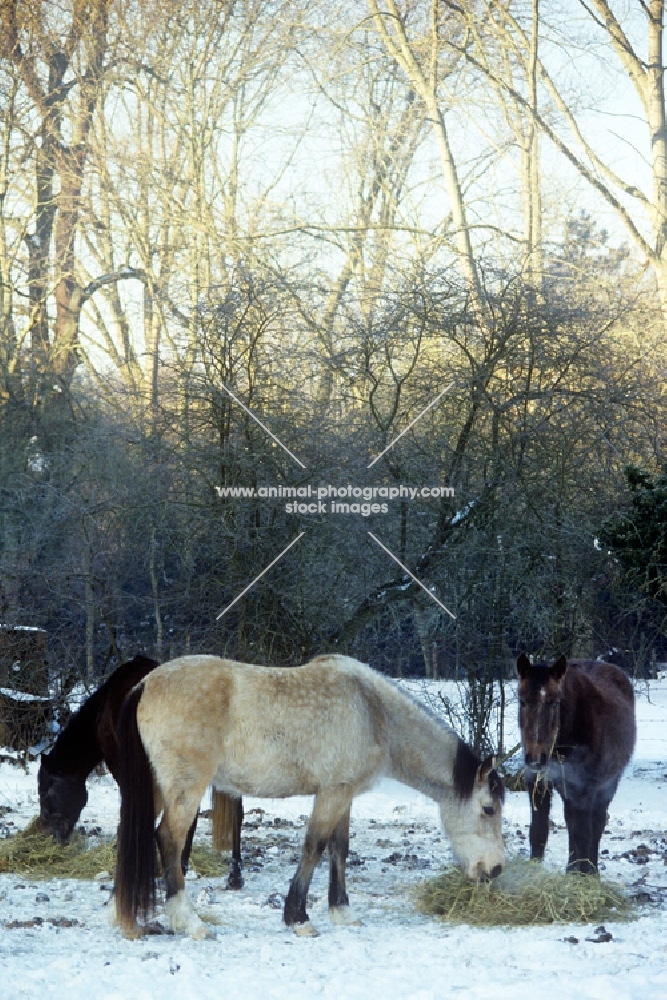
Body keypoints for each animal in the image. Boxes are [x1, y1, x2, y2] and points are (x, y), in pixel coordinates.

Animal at [113, 652, 506, 940]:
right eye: (488, 809)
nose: (495, 870)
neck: (373, 711)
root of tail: (146, 684)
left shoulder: (344, 794)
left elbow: (339, 850)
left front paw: (342, 912)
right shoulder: (332, 793)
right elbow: (314, 847)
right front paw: (298, 917)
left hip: (157, 789)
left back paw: (125, 917)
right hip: (185, 789)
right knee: (169, 839)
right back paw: (190, 922)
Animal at [516, 652, 636, 872]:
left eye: (555, 703)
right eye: (522, 701)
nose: (535, 759)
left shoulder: (584, 789)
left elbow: (583, 835)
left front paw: (581, 874)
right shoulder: (539, 783)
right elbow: (539, 832)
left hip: (607, 785)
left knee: (596, 825)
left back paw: (592, 871)